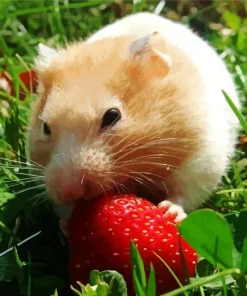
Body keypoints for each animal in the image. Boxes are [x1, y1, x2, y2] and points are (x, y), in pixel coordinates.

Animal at [27, 12, 241, 223]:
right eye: (45, 127)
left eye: (112, 116)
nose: (68, 192)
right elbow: (64, 210)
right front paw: (68, 221)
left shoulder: (202, 160)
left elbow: (184, 195)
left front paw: (168, 212)